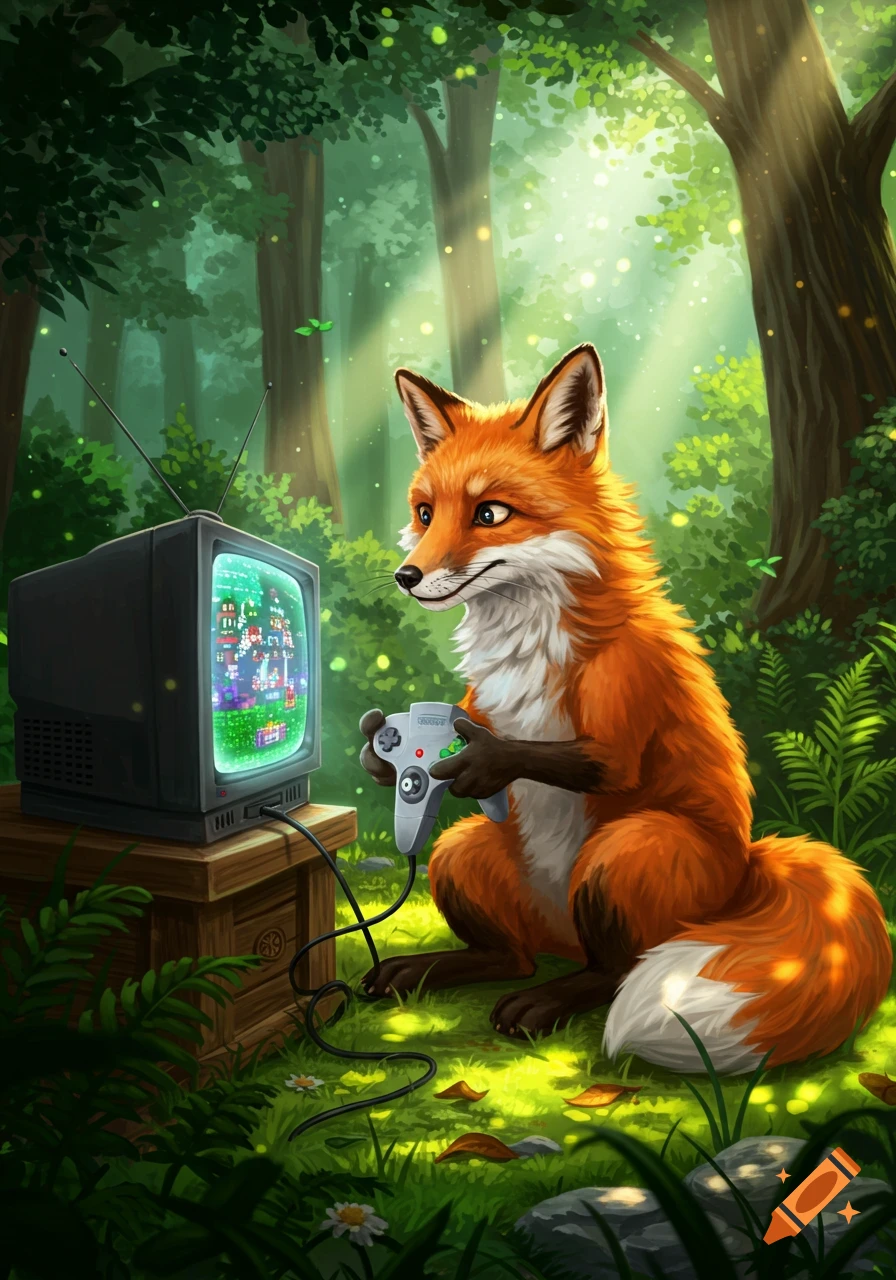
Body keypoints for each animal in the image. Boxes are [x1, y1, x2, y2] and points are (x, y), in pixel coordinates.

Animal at [358, 342, 892, 1073]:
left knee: (611, 970)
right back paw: (432, 969)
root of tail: (748, 868)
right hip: (459, 850)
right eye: (425, 513)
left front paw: (483, 760)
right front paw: (375, 753)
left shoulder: (625, 702)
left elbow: (586, 760)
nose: (406, 577)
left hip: (626, 851)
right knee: (512, 957)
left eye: (489, 514)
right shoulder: (479, 707)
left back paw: (550, 1003)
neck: (531, 645)